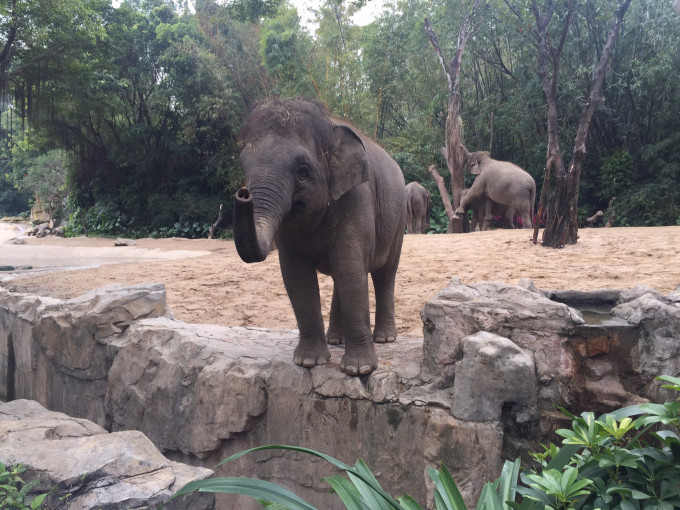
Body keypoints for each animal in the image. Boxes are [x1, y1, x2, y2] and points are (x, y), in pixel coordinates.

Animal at [233, 97, 406, 376]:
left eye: (302, 171)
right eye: (243, 164)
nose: (243, 193)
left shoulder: (357, 197)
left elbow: (350, 269)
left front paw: (359, 369)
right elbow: (297, 275)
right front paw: (309, 362)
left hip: (398, 220)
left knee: (384, 274)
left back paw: (384, 338)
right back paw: (335, 339)